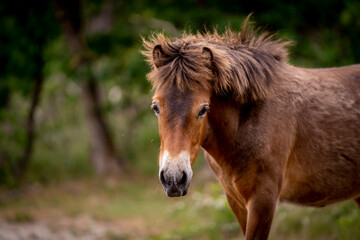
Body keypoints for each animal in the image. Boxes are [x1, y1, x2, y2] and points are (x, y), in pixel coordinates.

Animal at [141, 17, 360, 240]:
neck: (248, 122)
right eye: (156, 107)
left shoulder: (263, 200)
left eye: (203, 109)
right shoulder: (236, 201)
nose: (173, 178)